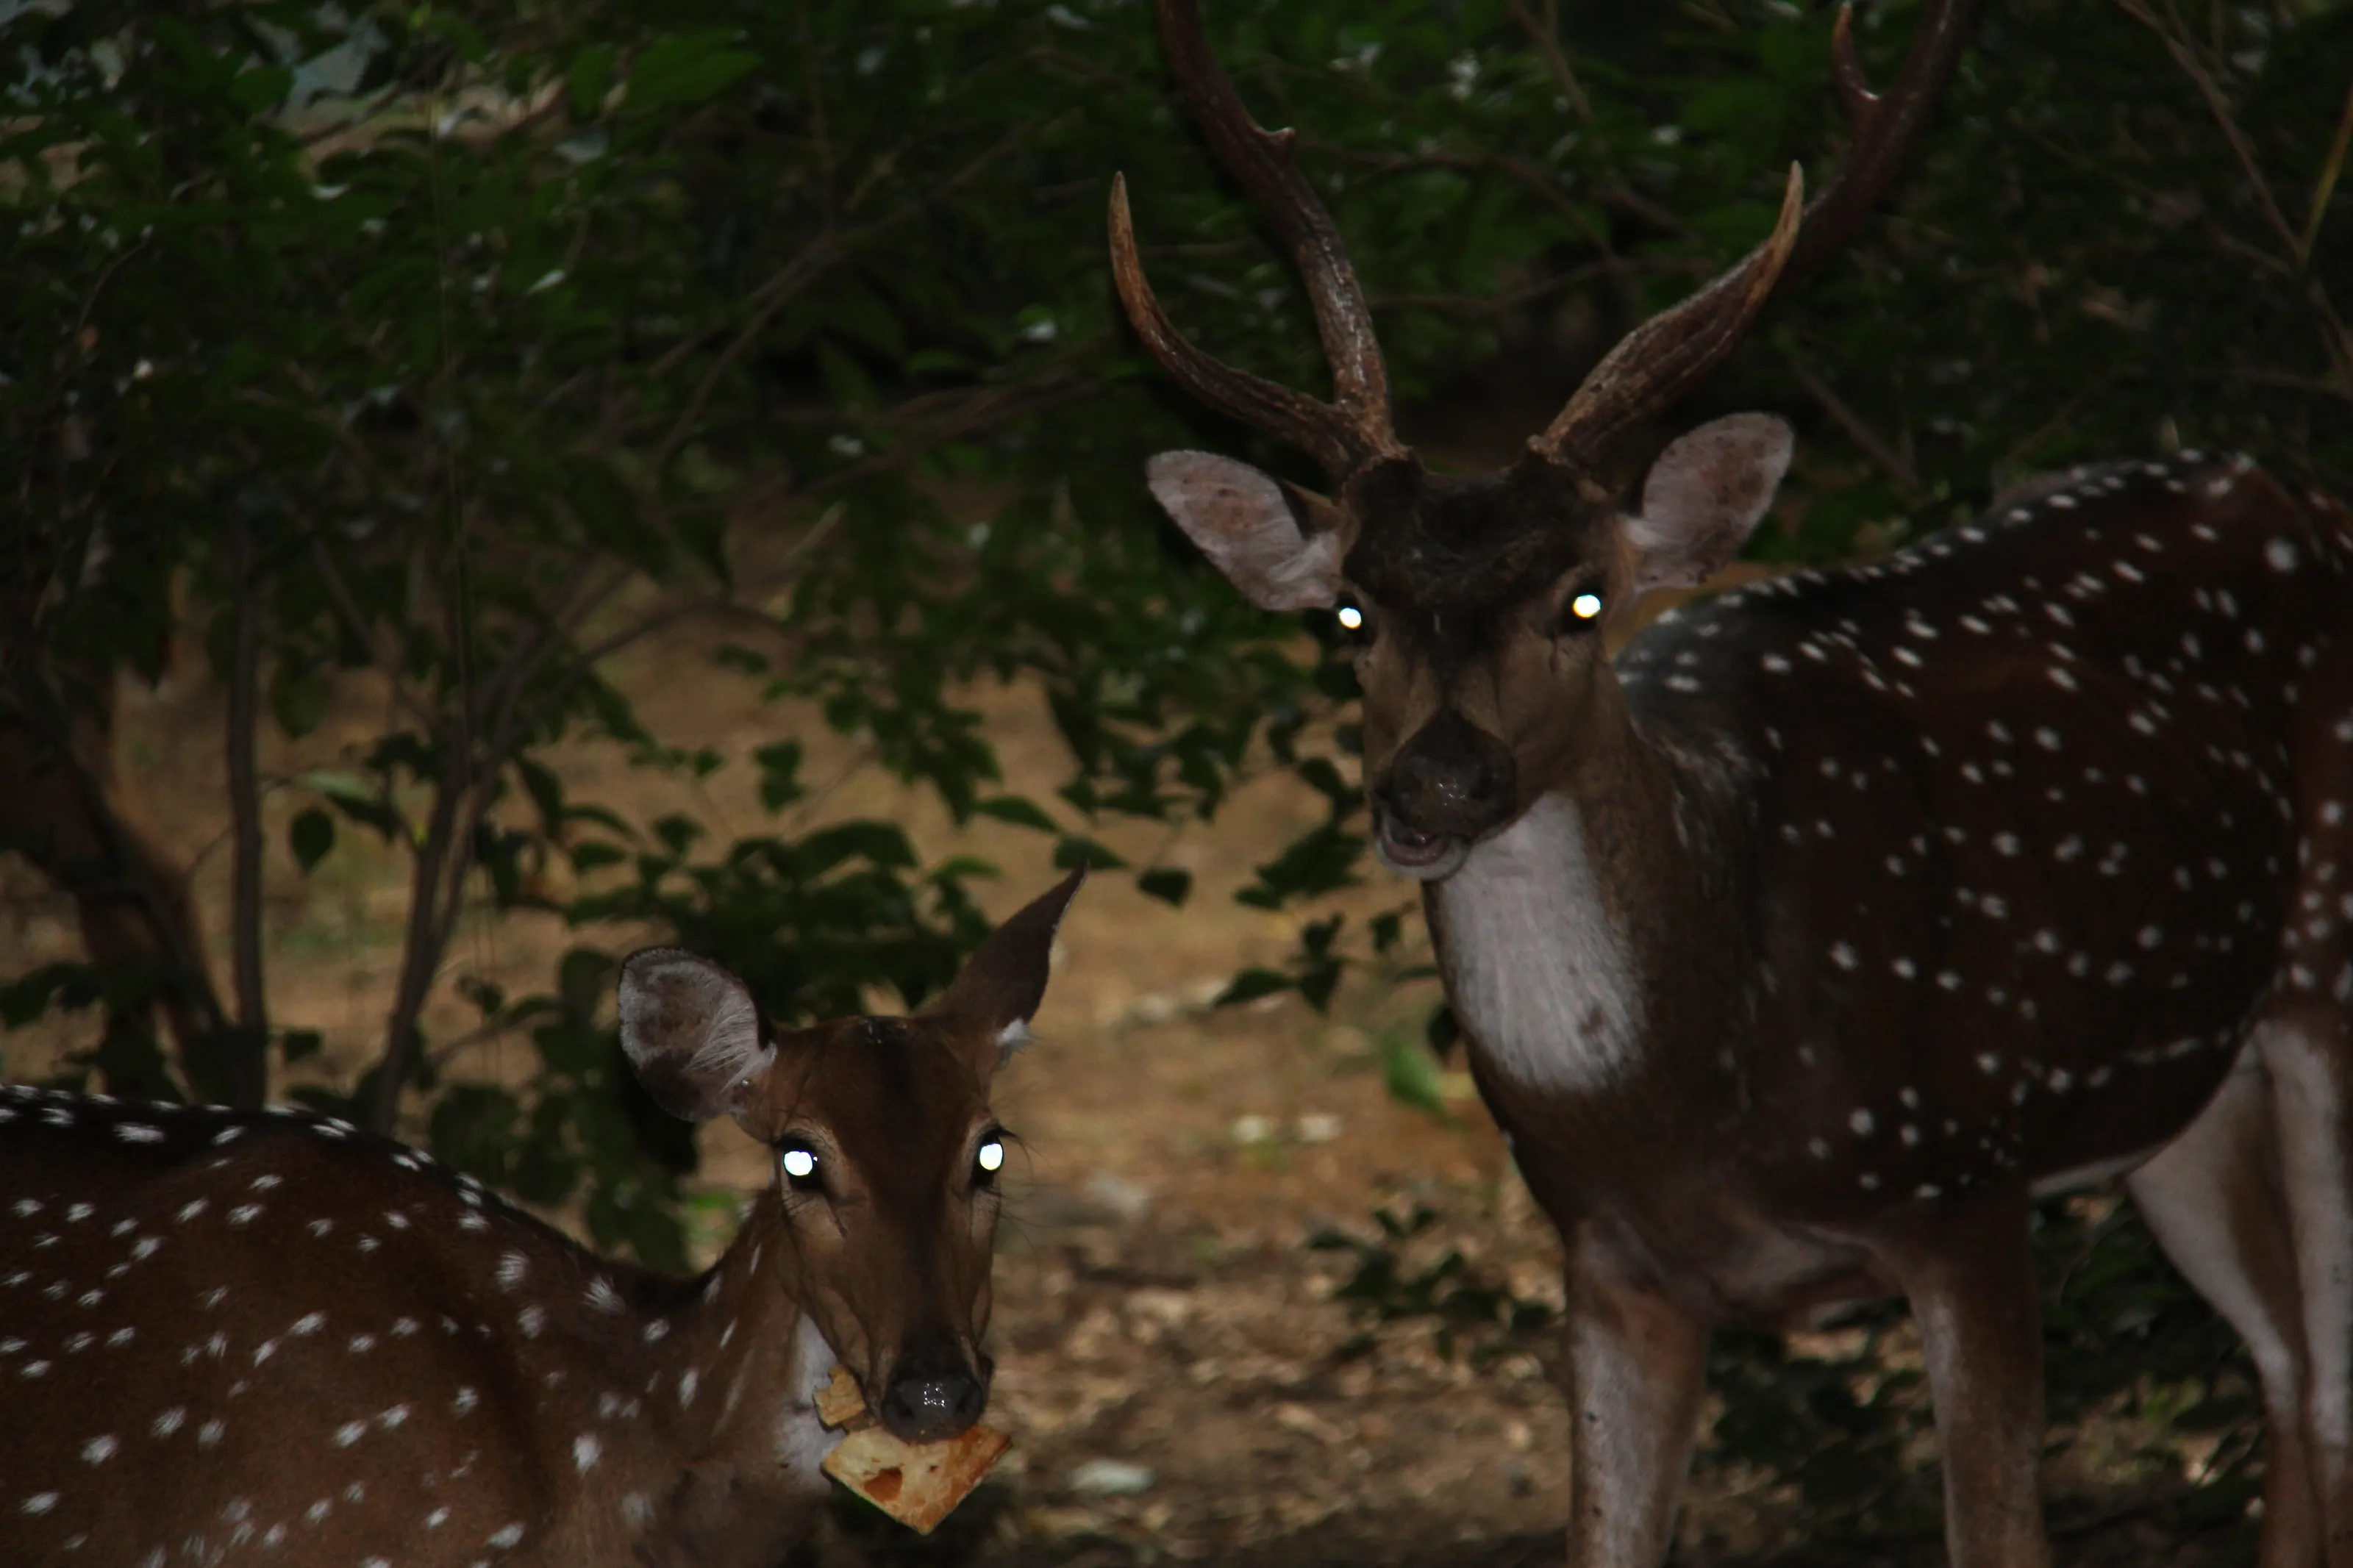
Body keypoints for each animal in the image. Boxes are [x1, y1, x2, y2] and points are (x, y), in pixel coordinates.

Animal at [1110, 1, 2353, 1564]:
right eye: (1349, 611)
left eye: (1584, 600)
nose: (1436, 782)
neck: (1696, 1095)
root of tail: (2291, 490)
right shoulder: (1608, 1260)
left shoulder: (1967, 1183)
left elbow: (1996, 1529)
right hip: (2175, 1088)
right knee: (2285, 1361)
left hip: (2323, 972)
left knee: (2333, 1384)